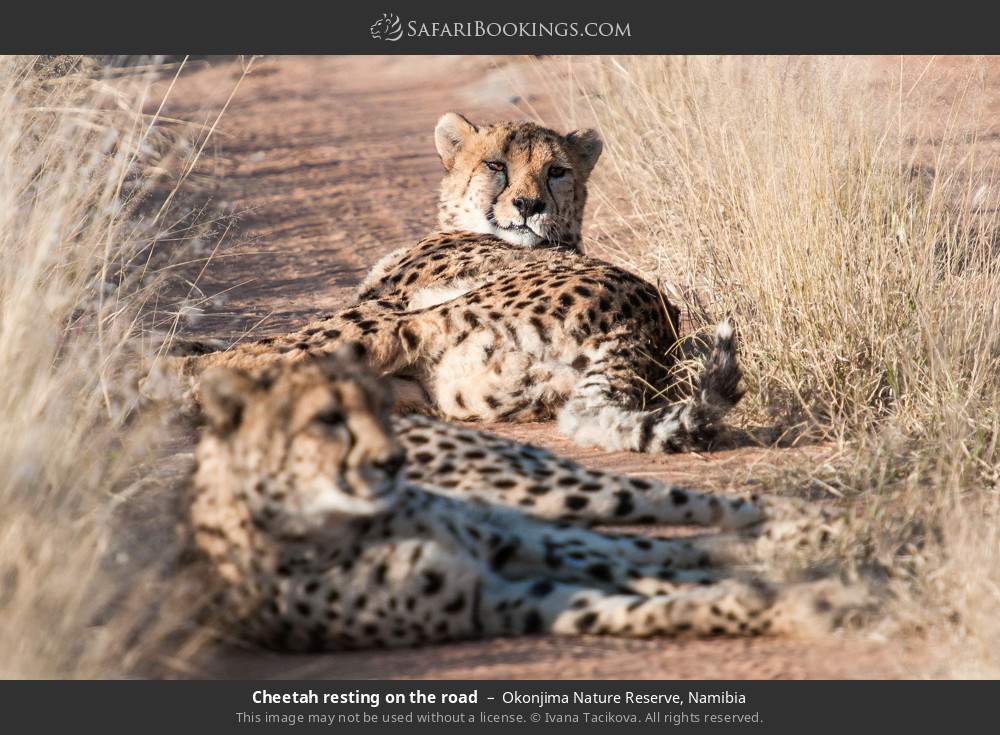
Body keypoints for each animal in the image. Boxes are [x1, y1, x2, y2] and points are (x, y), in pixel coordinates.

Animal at [164, 112, 744, 454]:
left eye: (556, 171)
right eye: (496, 165)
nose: (528, 205)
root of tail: (649, 331)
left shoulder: (380, 305)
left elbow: (271, 340)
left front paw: (168, 359)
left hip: (422, 318)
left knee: (311, 353)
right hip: (461, 389)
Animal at [189, 348, 868, 652]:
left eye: (377, 407)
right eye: (326, 419)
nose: (392, 461)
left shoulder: (506, 552)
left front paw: (813, 589)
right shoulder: (500, 599)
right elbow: (654, 606)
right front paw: (803, 602)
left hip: (542, 497)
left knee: (685, 513)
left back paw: (823, 527)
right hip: (530, 521)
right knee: (670, 550)